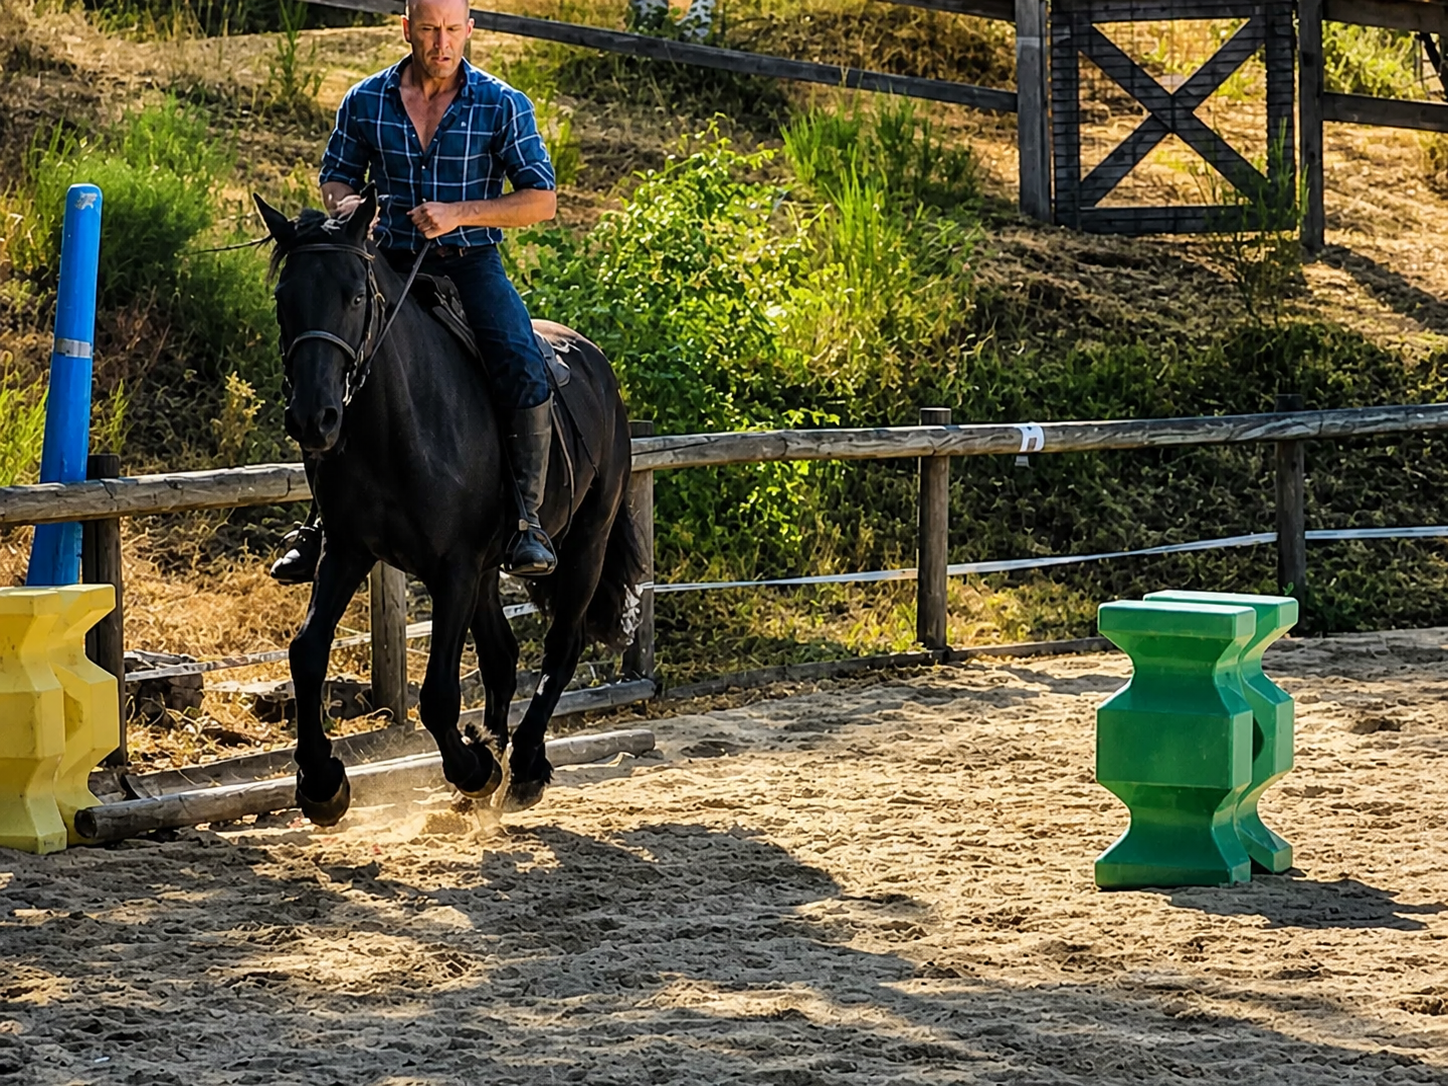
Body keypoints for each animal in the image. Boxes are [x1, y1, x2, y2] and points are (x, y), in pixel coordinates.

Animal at [253, 188, 642, 824]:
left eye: (355, 294)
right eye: (285, 299)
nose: (314, 419)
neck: (400, 424)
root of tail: (594, 360)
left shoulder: (453, 568)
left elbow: (437, 693)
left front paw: (475, 768)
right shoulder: (347, 550)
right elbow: (306, 653)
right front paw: (321, 783)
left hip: (584, 543)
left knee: (560, 648)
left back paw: (524, 767)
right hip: (488, 573)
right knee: (504, 656)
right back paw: (494, 762)